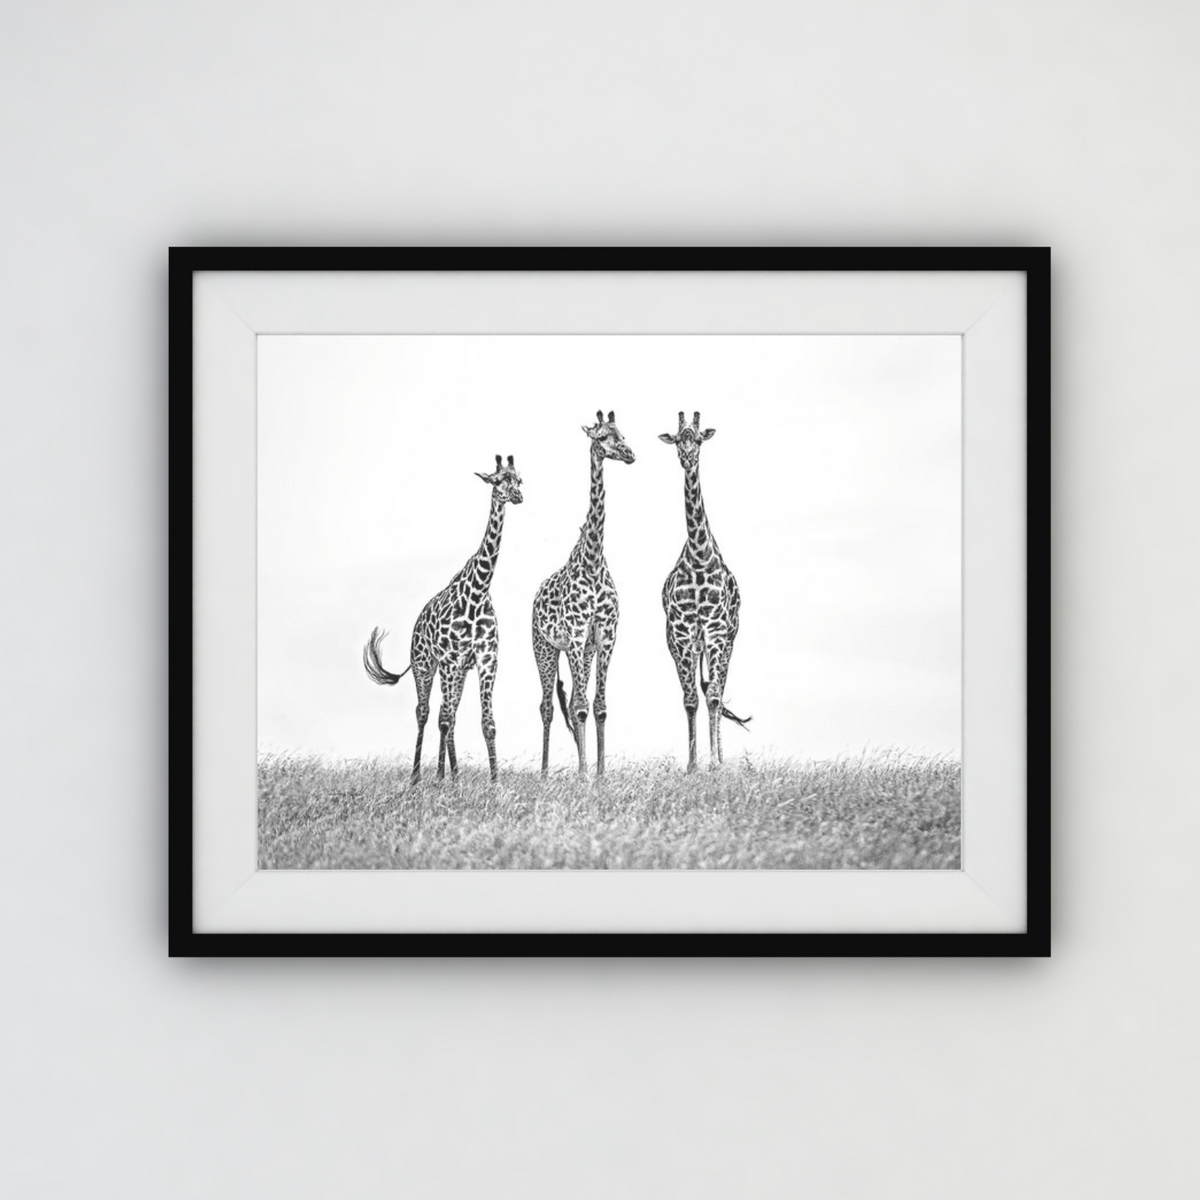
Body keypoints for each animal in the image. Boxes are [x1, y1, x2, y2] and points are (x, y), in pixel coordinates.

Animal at [363, 454, 523, 783]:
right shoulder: (450, 660)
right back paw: (418, 777)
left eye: (519, 480)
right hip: (425, 665)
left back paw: (450, 774)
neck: (478, 592)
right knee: (426, 713)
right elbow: (444, 718)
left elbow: (487, 722)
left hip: (457, 671)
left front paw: (495, 782)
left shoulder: (486, 659)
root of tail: (416, 624)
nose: (517, 496)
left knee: (447, 713)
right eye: (498, 480)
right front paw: (443, 780)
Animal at [532, 411, 635, 777]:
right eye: (602, 437)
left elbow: (598, 705)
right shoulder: (576, 635)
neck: (592, 563)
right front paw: (583, 774)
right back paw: (545, 772)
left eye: (623, 433)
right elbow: (578, 706)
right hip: (545, 648)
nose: (630, 454)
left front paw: (600, 773)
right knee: (547, 705)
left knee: (576, 698)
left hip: (581, 652)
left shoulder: (604, 636)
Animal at [659, 411, 750, 772]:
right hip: (688, 645)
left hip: (727, 642)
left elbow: (712, 697)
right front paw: (692, 765)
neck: (699, 556)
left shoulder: (716, 631)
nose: (687, 458)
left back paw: (721, 758)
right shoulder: (683, 634)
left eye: (697, 439)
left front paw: (714, 764)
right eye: (676, 439)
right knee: (704, 690)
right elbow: (690, 700)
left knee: (717, 690)